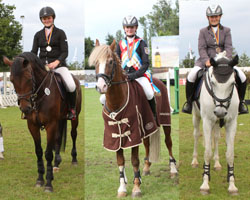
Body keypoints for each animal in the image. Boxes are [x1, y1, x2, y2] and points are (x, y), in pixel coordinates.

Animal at [3, 52, 81, 193]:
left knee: (73, 134)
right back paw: (56, 163)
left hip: (74, 117)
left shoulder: (51, 125)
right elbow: (38, 151)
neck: (39, 95)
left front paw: (49, 184)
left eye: (29, 78)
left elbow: (48, 154)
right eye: (11, 80)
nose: (25, 109)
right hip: (59, 120)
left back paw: (74, 159)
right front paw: (40, 179)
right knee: (58, 138)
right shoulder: (32, 126)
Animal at [89, 39, 177, 198]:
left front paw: (136, 187)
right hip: (147, 127)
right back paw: (147, 167)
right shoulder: (115, 137)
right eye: (96, 63)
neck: (117, 100)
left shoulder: (133, 133)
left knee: (169, 142)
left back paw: (173, 169)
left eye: (110, 62)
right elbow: (120, 161)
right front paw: (122, 187)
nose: (101, 86)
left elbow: (134, 160)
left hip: (165, 121)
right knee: (147, 144)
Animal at [192, 52, 239, 195]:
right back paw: (194, 161)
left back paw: (217, 163)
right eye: (213, 83)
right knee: (196, 135)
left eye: (233, 83)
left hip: (218, 122)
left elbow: (230, 154)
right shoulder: (207, 122)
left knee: (216, 138)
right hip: (196, 117)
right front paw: (205, 185)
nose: (220, 112)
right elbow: (207, 152)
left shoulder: (231, 123)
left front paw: (232, 186)